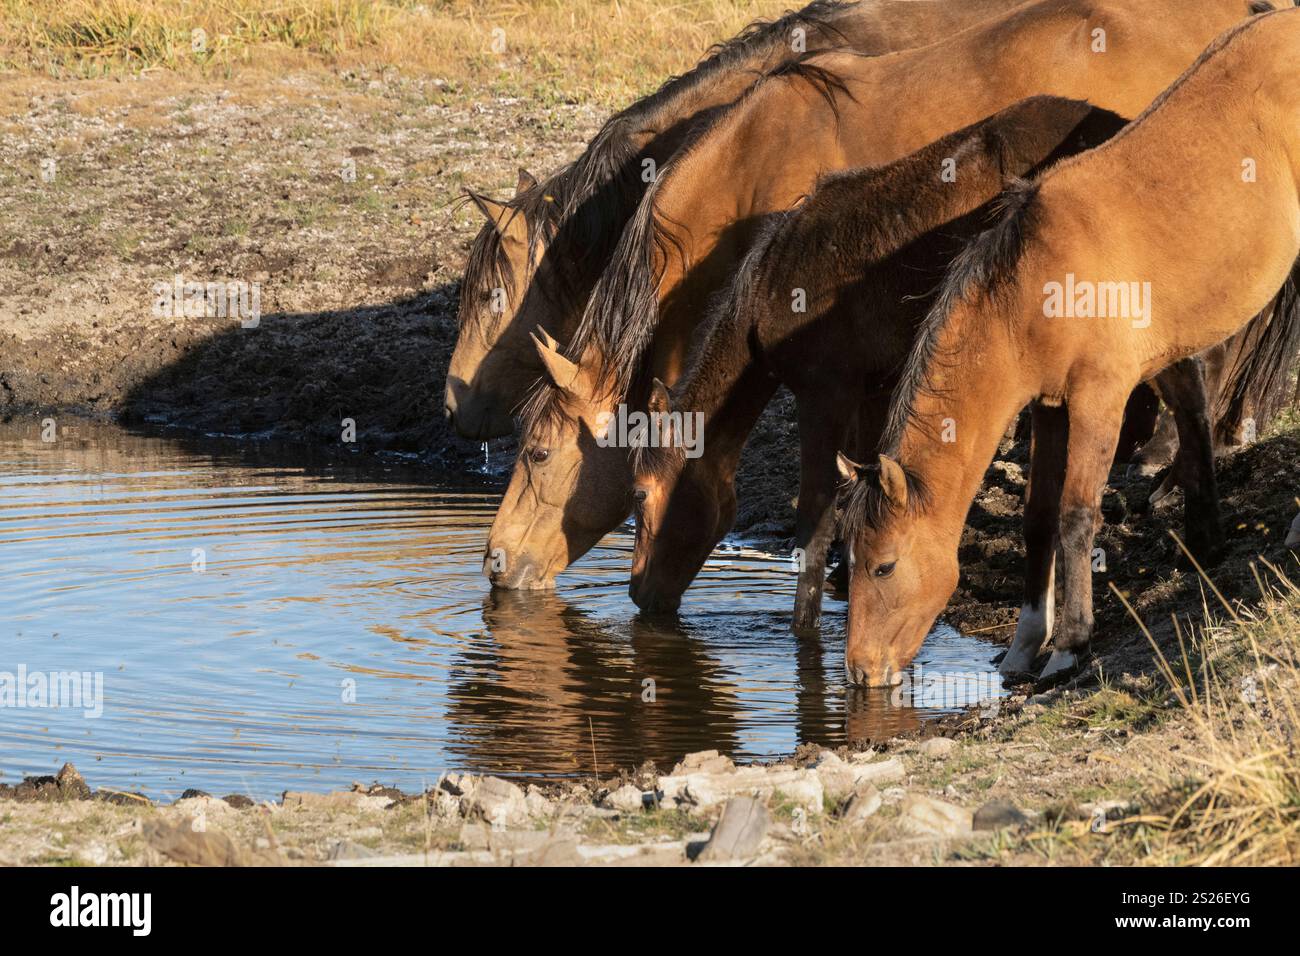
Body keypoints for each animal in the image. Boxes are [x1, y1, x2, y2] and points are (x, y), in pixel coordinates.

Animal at [837, 5, 1300, 688]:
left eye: (884, 565)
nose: (862, 672)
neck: (1034, 285)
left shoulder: (1099, 399)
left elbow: (1077, 516)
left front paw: (1070, 644)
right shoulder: (1050, 405)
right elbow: (1038, 518)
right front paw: (1025, 644)